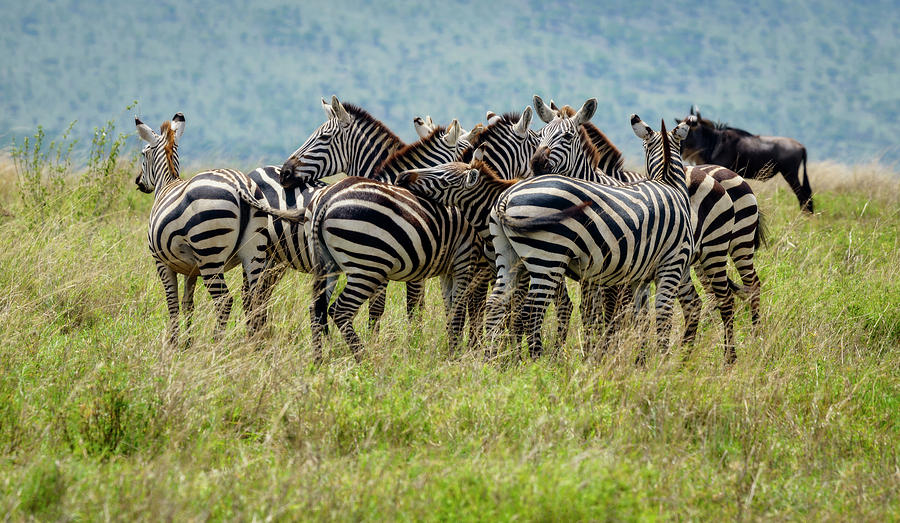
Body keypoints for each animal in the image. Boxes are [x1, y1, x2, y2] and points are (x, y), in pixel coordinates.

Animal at [134, 112, 302, 346]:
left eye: (143, 154)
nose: (138, 182)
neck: (167, 183)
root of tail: (241, 184)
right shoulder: (190, 268)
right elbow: (188, 304)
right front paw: (187, 343)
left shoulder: (161, 262)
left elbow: (172, 303)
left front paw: (174, 344)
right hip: (254, 251)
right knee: (255, 297)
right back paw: (255, 344)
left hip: (209, 252)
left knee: (224, 301)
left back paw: (217, 343)